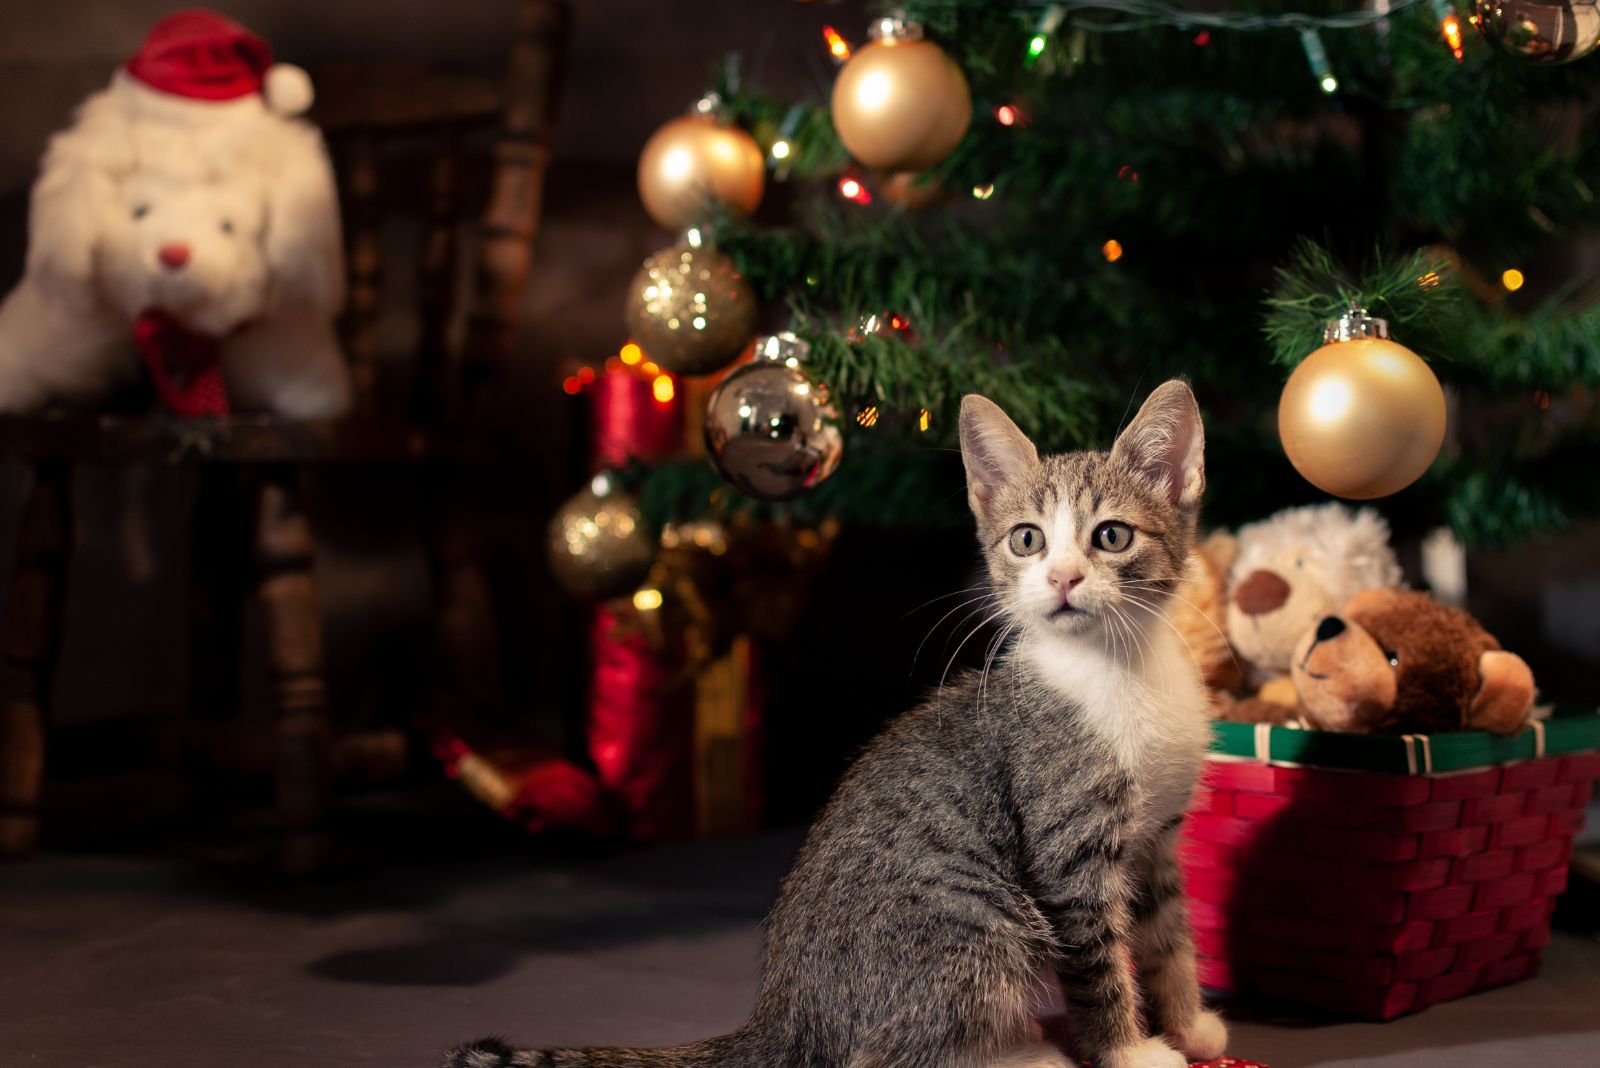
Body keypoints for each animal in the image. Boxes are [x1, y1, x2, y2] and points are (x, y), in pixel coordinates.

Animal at [448, 382, 1222, 1068]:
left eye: (1111, 536)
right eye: (1027, 541)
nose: (1062, 578)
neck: (1119, 668)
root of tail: (784, 1010)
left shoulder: (1156, 836)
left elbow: (1167, 933)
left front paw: (1189, 1023)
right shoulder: (1068, 846)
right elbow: (1099, 964)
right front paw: (1128, 1051)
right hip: (974, 917)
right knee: (876, 1055)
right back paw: (1022, 1056)